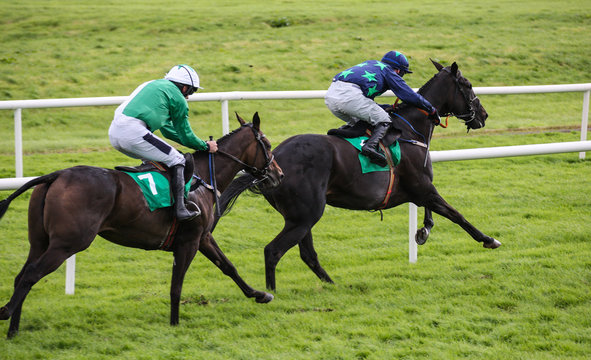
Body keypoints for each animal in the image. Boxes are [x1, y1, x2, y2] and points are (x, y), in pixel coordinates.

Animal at [0, 112, 284, 338]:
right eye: (268, 145)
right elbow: (176, 285)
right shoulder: (189, 241)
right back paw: (5, 313)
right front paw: (175, 323)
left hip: (40, 241)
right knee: (31, 274)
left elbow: (228, 266)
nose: (279, 174)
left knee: (21, 276)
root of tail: (56, 175)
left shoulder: (203, 237)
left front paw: (260, 294)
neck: (202, 177)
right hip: (68, 243)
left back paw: (14, 330)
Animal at [217, 60, 504, 292]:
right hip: (306, 214)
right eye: (467, 85)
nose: (484, 114)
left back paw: (331, 284)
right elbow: (455, 214)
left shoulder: (418, 190)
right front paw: (489, 239)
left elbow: (432, 212)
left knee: (306, 253)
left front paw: (423, 231)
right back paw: (272, 293)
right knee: (273, 251)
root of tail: (271, 160)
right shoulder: (423, 187)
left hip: (299, 216)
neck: (410, 130)